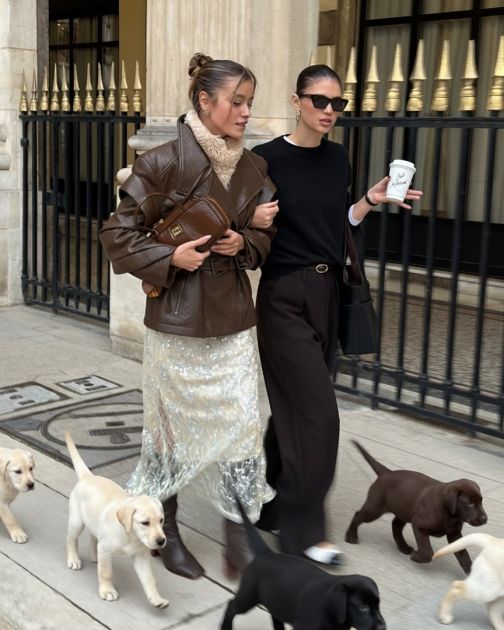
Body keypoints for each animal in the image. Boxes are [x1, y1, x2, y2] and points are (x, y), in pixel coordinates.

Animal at [64, 431, 169, 608]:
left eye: (161, 520)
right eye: (145, 523)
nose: (161, 541)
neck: (131, 535)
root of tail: (88, 476)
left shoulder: (140, 556)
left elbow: (149, 579)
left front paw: (156, 598)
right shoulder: (106, 550)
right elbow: (106, 572)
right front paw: (107, 591)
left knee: (94, 537)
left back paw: (94, 555)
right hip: (76, 521)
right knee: (71, 539)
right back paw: (73, 559)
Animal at [221, 498, 386, 630]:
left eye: (378, 606)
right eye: (362, 606)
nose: (382, 627)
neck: (329, 608)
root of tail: (266, 553)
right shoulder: (303, 626)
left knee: (275, 615)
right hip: (248, 595)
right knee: (231, 605)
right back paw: (225, 626)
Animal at [345, 440, 487, 574]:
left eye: (481, 501)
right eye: (469, 503)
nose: (485, 518)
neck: (449, 514)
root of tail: (386, 473)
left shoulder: (454, 534)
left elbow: (463, 554)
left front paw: (470, 570)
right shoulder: (419, 525)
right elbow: (427, 552)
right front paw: (417, 557)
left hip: (402, 510)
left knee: (395, 525)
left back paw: (403, 546)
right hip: (374, 509)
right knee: (358, 515)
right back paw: (351, 536)